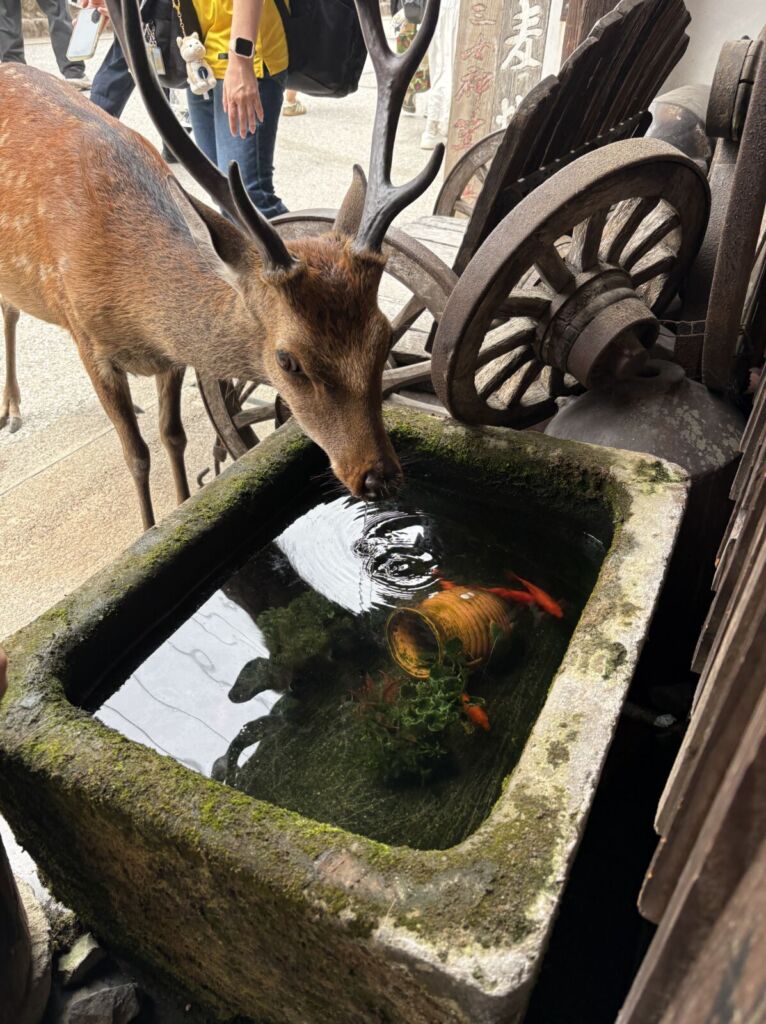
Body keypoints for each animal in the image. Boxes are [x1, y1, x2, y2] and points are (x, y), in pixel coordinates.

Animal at [0, 0, 444, 529]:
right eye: (288, 360)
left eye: (383, 335)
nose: (378, 477)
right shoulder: (86, 339)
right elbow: (137, 455)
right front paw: (150, 528)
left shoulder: (170, 359)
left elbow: (174, 437)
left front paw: (182, 504)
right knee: (9, 310)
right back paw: (12, 411)